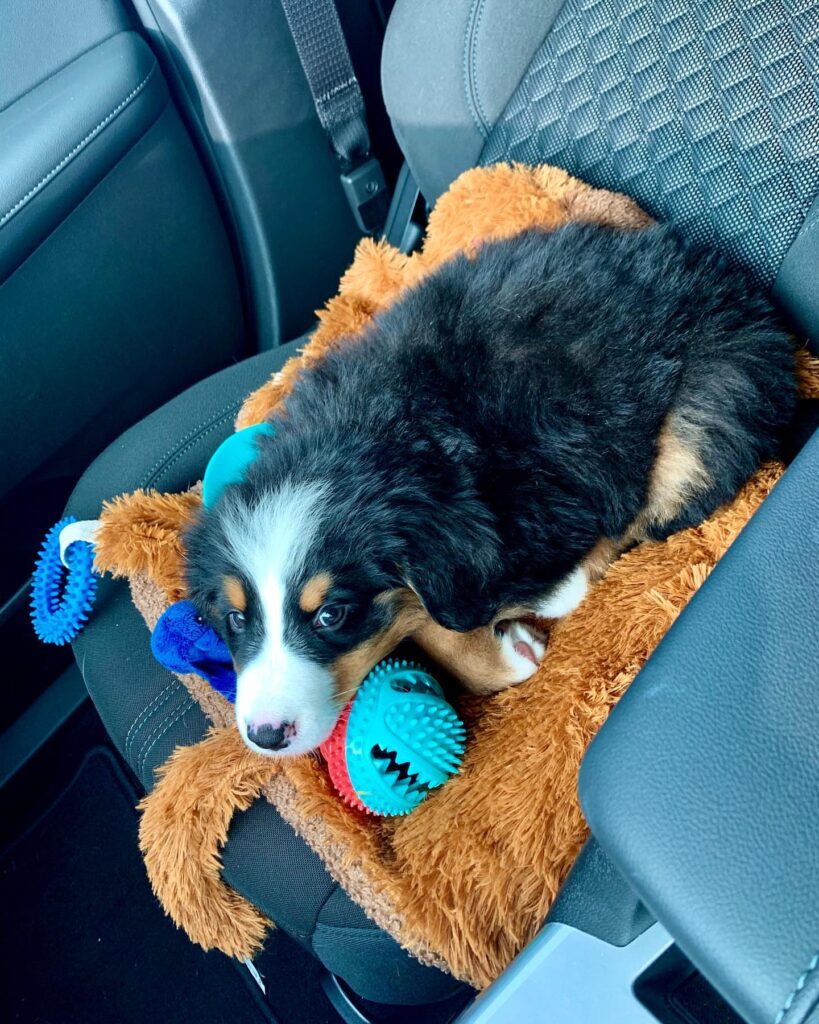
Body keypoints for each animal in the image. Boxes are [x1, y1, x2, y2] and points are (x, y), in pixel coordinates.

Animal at [187, 222, 798, 753]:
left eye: (332, 615)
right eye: (237, 618)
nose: (265, 736)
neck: (355, 437)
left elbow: (445, 614)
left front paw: (512, 645)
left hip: (706, 411)